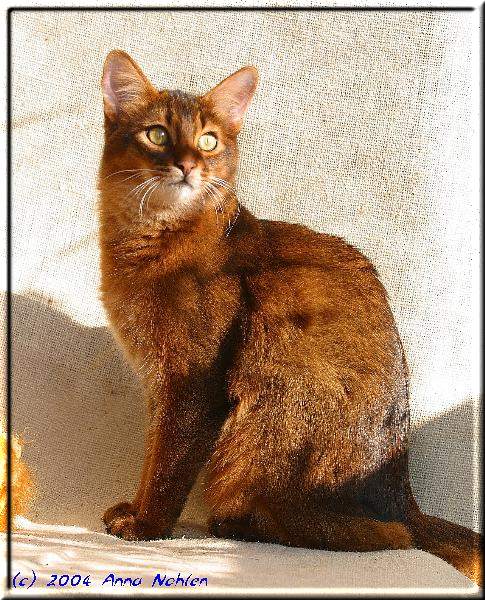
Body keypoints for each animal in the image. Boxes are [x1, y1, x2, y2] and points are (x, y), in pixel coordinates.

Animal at [97, 51, 480, 584]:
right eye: (157, 134)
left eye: (209, 140)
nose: (189, 165)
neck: (151, 240)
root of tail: (404, 500)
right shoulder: (160, 381)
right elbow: (156, 453)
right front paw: (138, 510)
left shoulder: (192, 381)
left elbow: (169, 462)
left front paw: (146, 524)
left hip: (273, 409)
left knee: (381, 536)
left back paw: (239, 524)